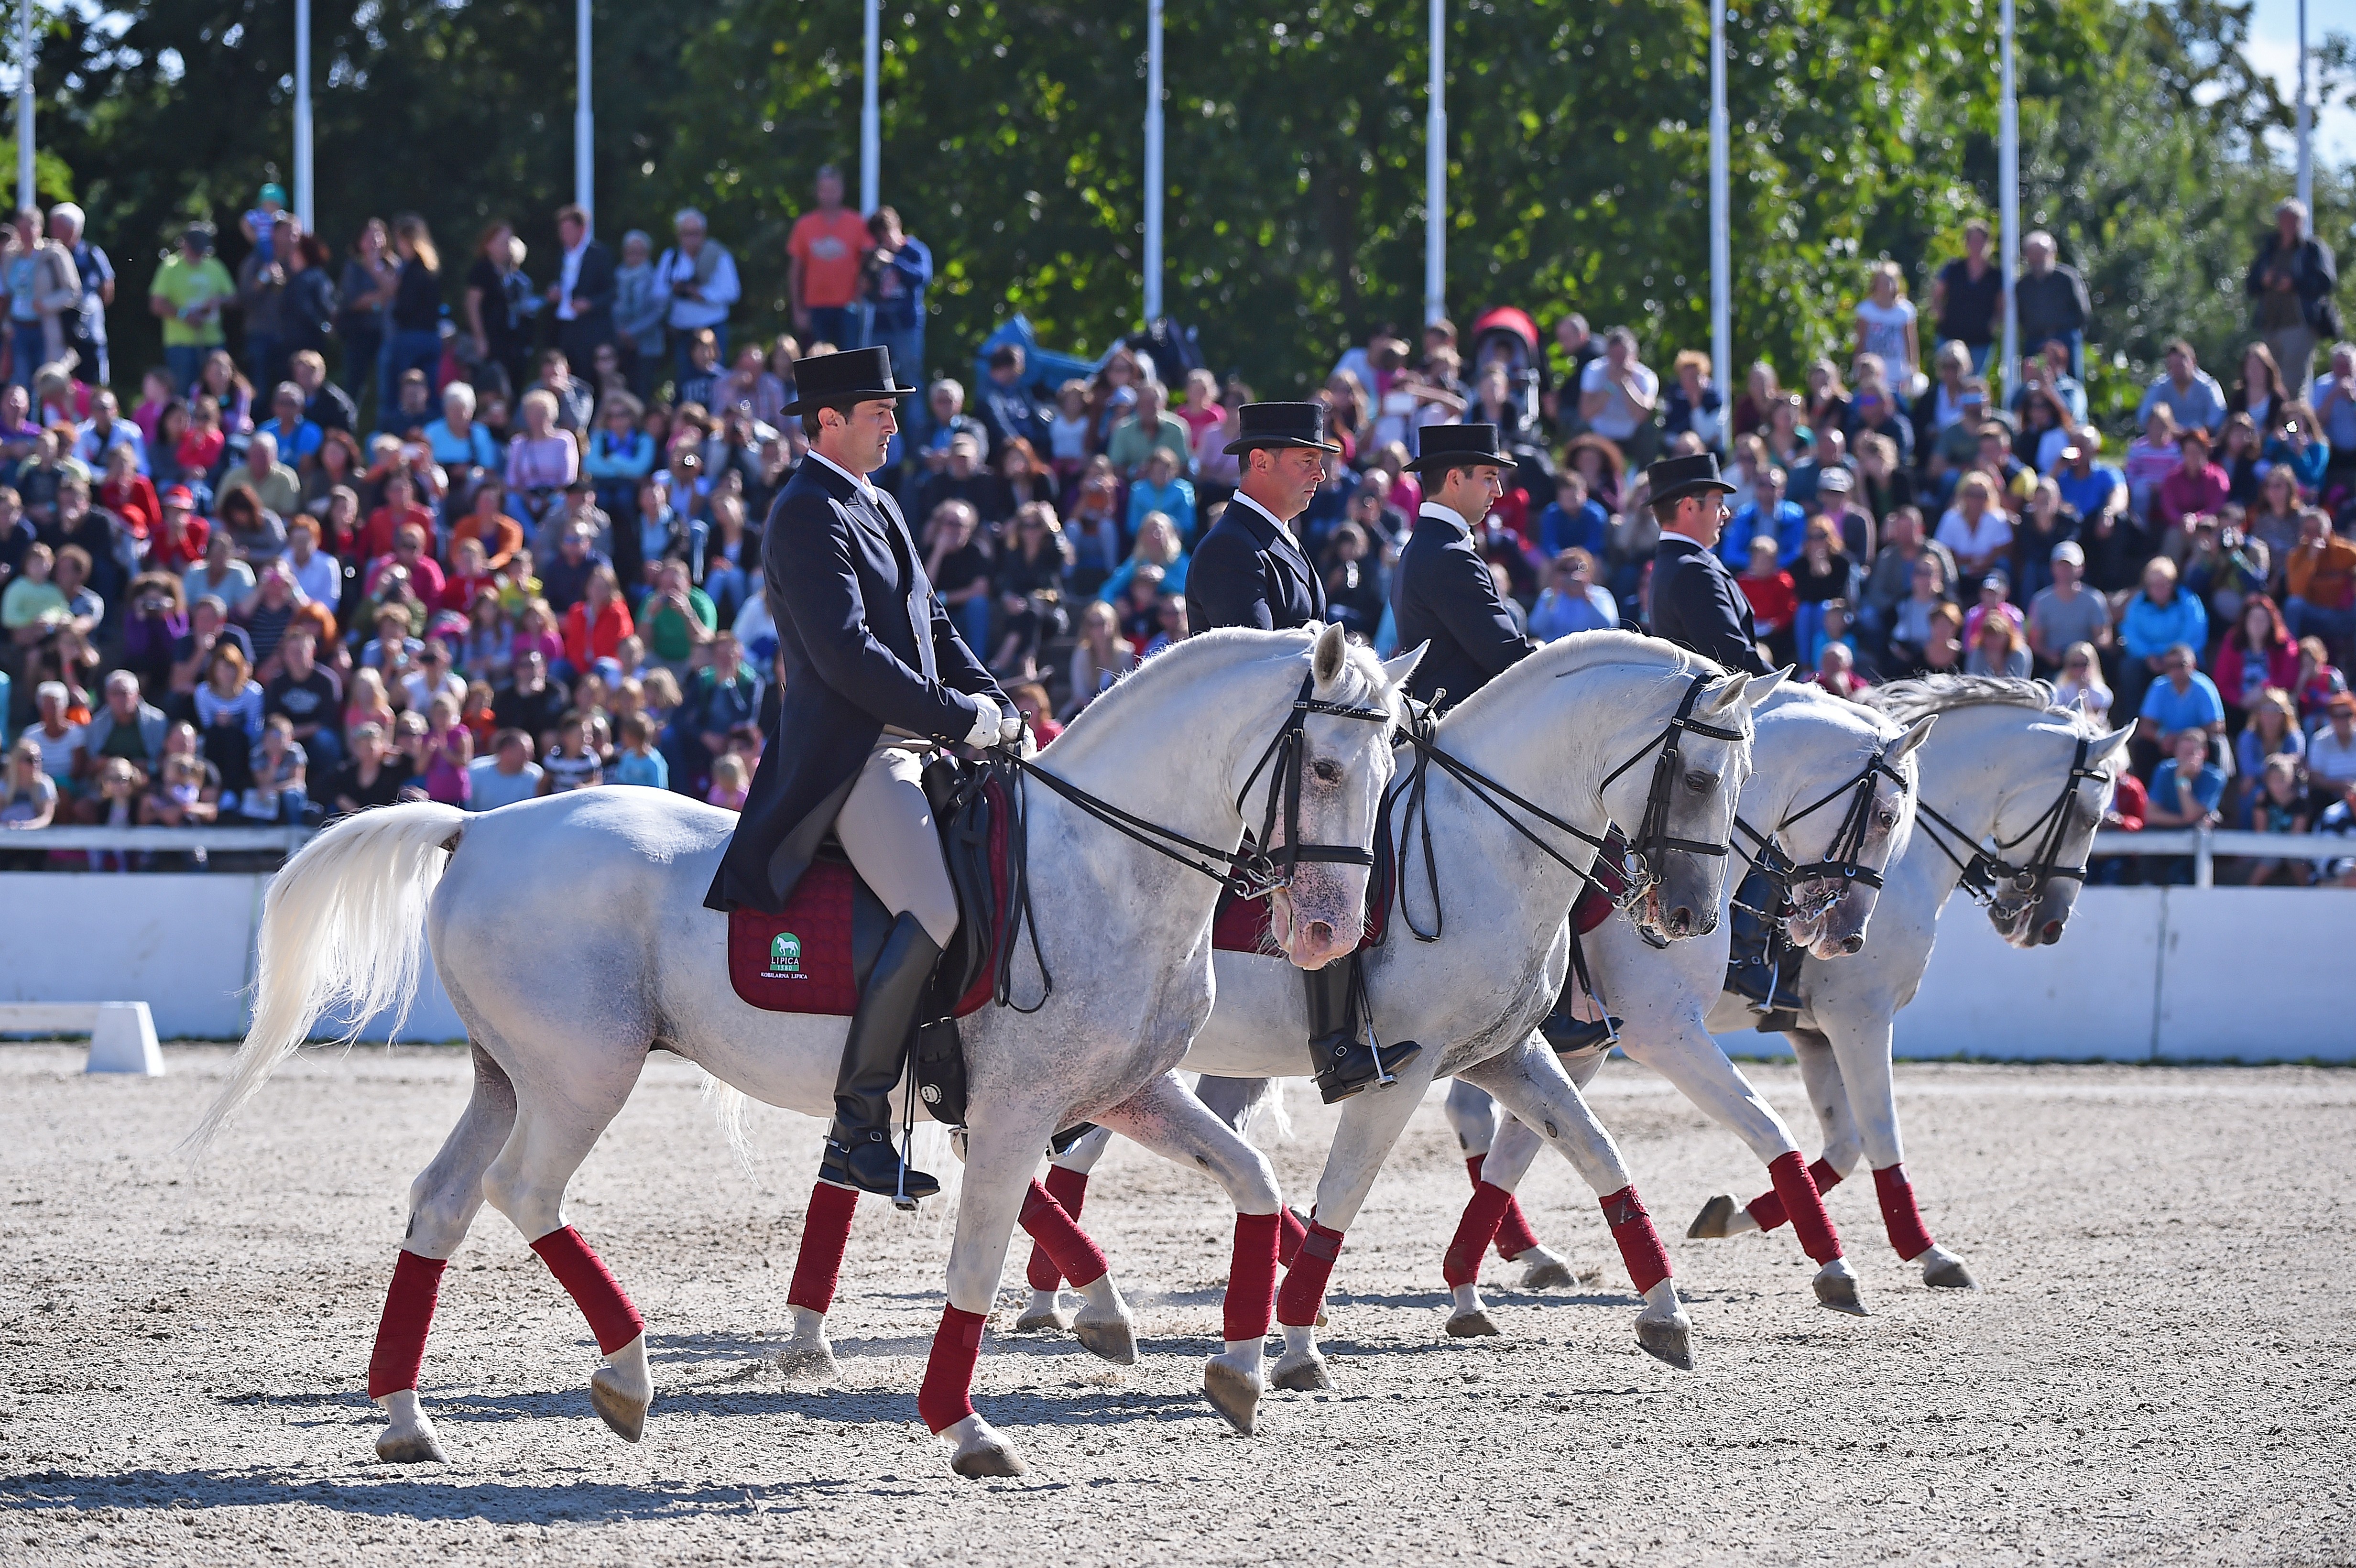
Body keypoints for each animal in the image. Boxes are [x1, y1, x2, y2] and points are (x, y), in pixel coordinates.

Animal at [186, 624, 1417, 1480]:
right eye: (1322, 768)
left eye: (1386, 769)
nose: (1330, 929)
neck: (1104, 864)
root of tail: (479, 826)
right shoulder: (1017, 1109)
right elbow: (976, 1265)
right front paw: (967, 1427)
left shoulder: (1131, 1091)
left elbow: (1251, 1180)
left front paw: (1235, 1368)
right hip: (583, 1074)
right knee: (523, 1188)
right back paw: (625, 1370)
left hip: (509, 1074)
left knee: (442, 1200)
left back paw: (407, 1418)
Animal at [934, 634, 1772, 1388]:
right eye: (1701, 781)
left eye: (1745, 781)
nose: (1692, 915)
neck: (1487, 843)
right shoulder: (1406, 1066)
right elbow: (1346, 1192)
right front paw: (1298, 1346)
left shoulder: (1507, 1052)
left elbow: (1601, 1156)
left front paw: (1665, 1316)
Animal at [1440, 681, 1933, 1324]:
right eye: (1885, 816)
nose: (1847, 937)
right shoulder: (1676, 1034)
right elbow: (1780, 1130)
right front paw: (1843, 1267)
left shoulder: (1582, 1051)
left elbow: (1516, 1156)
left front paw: (1466, 1277)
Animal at [1667, 676, 2132, 1287]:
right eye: (2089, 817)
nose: (2050, 925)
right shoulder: (1859, 1018)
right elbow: (1882, 1133)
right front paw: (1928, 1253)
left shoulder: (1811, 1032)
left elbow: (1844, 1147)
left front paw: (1733, 1215)